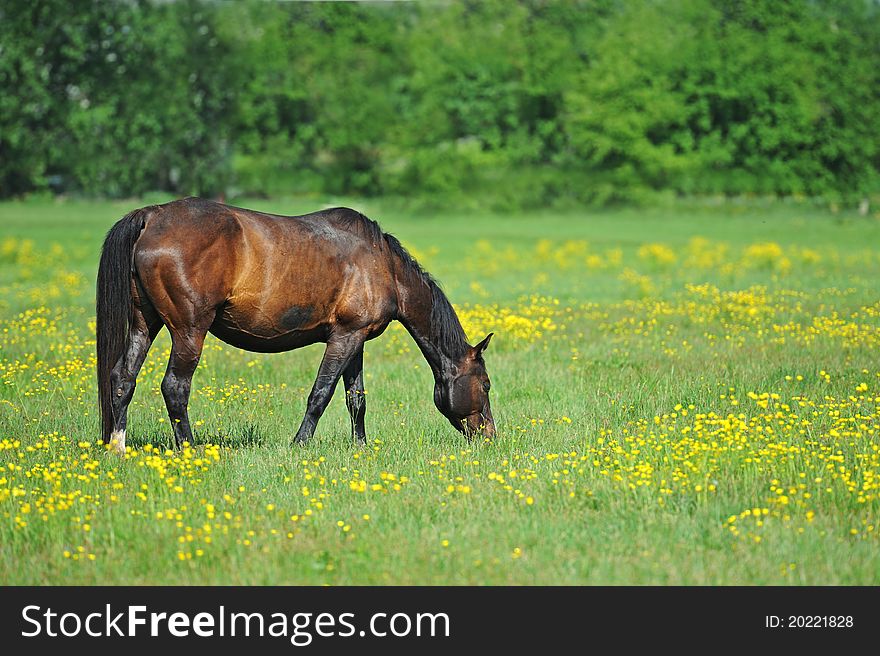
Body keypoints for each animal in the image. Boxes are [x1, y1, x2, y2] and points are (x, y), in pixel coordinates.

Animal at [98, 197, 496, 454]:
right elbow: (321, 394)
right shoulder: (344, 338)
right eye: (486, 385)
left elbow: (356, 398)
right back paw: (190, 449)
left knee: (122, 378)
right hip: (189, 330)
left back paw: (117, 447)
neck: (383, 266)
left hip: (144, 324)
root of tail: (152, 216)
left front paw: (361, 448)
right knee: (175, 387)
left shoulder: (356, 339)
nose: (490, 436)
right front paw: (300, 444)